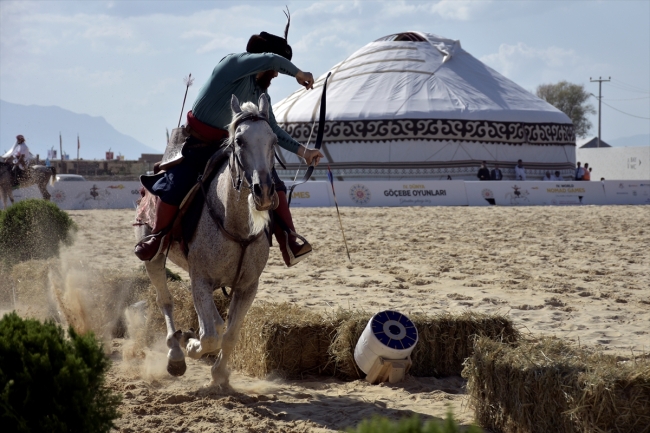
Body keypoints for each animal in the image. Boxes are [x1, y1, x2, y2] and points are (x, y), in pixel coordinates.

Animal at [135, 94, 278, 384]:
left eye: (273, 141)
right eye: (239, 141)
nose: (265, 191)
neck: (236, 225)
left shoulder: (248, 286)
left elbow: (230, 334)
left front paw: (220, 374)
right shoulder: (199, 279)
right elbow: (211, 335)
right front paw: (191, 346)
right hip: (153, 259)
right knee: (166, 301)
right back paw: (176, 354)